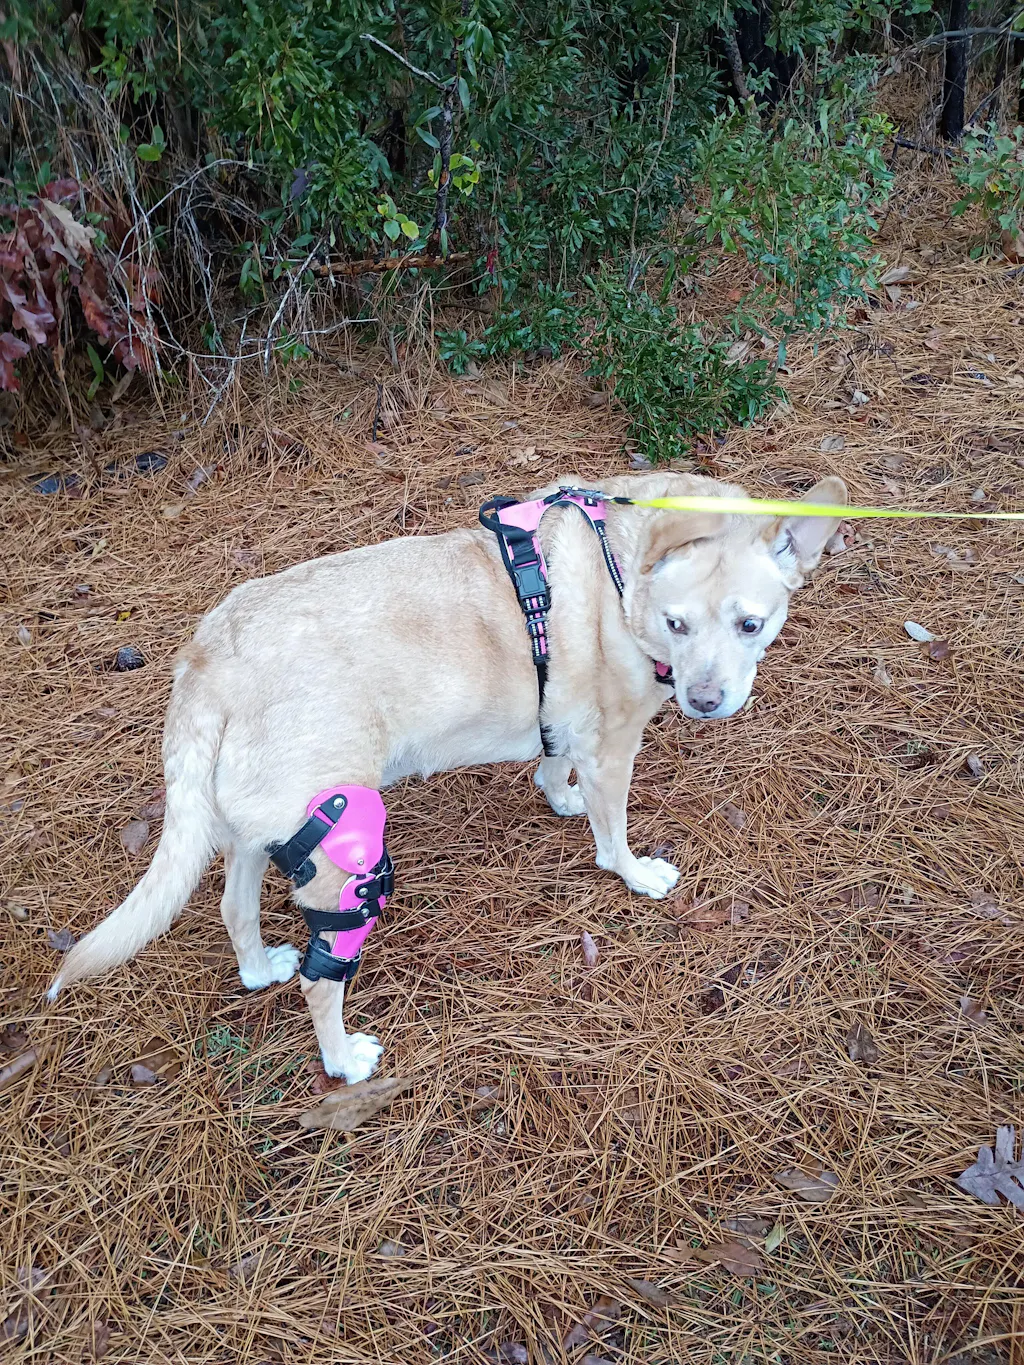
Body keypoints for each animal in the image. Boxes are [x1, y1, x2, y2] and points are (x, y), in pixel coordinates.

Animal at [48, 470, 845, 1083]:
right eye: (677, 625)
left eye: (749, 625)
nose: (703, 702)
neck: (623, 571)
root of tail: (208, 657)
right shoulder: (615, 745)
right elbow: (612, 836)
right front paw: (635, 873)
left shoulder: (563, 717)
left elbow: (555, 761)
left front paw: (561, 796)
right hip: (347, 855)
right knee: (319, 979)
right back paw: (343, 1059)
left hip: (254, 831)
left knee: (233, 910)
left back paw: (257, 969)